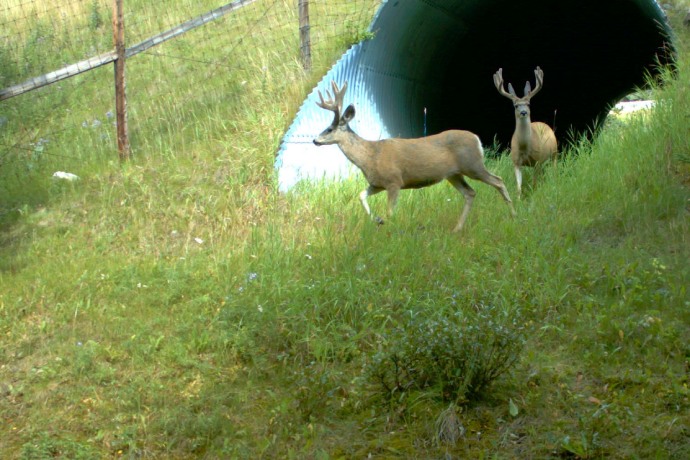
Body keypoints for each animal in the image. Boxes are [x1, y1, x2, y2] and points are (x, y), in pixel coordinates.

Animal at [312, 80, 516, 234]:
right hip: (454, 174)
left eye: (329, 129)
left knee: (498, 180)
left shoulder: (394, 181)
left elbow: (390, 211)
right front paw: (376, 220)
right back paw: (457, 229)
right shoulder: (377, 183)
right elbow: (361, 196)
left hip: (473, 165)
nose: (315, 140)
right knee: (470, 193)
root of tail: (476, 139)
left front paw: (389, 228)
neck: (370, 157)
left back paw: (513, 213)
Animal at [492, 66, 556, 198]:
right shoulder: (516, 162)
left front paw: (534, 195)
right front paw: (518, 199)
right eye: (516, 105)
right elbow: (519, 187)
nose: (523, 112)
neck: (525, 147)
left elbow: (534, 183)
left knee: (554, 170)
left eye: (528, 104)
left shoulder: (537, 160)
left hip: (554, 152)